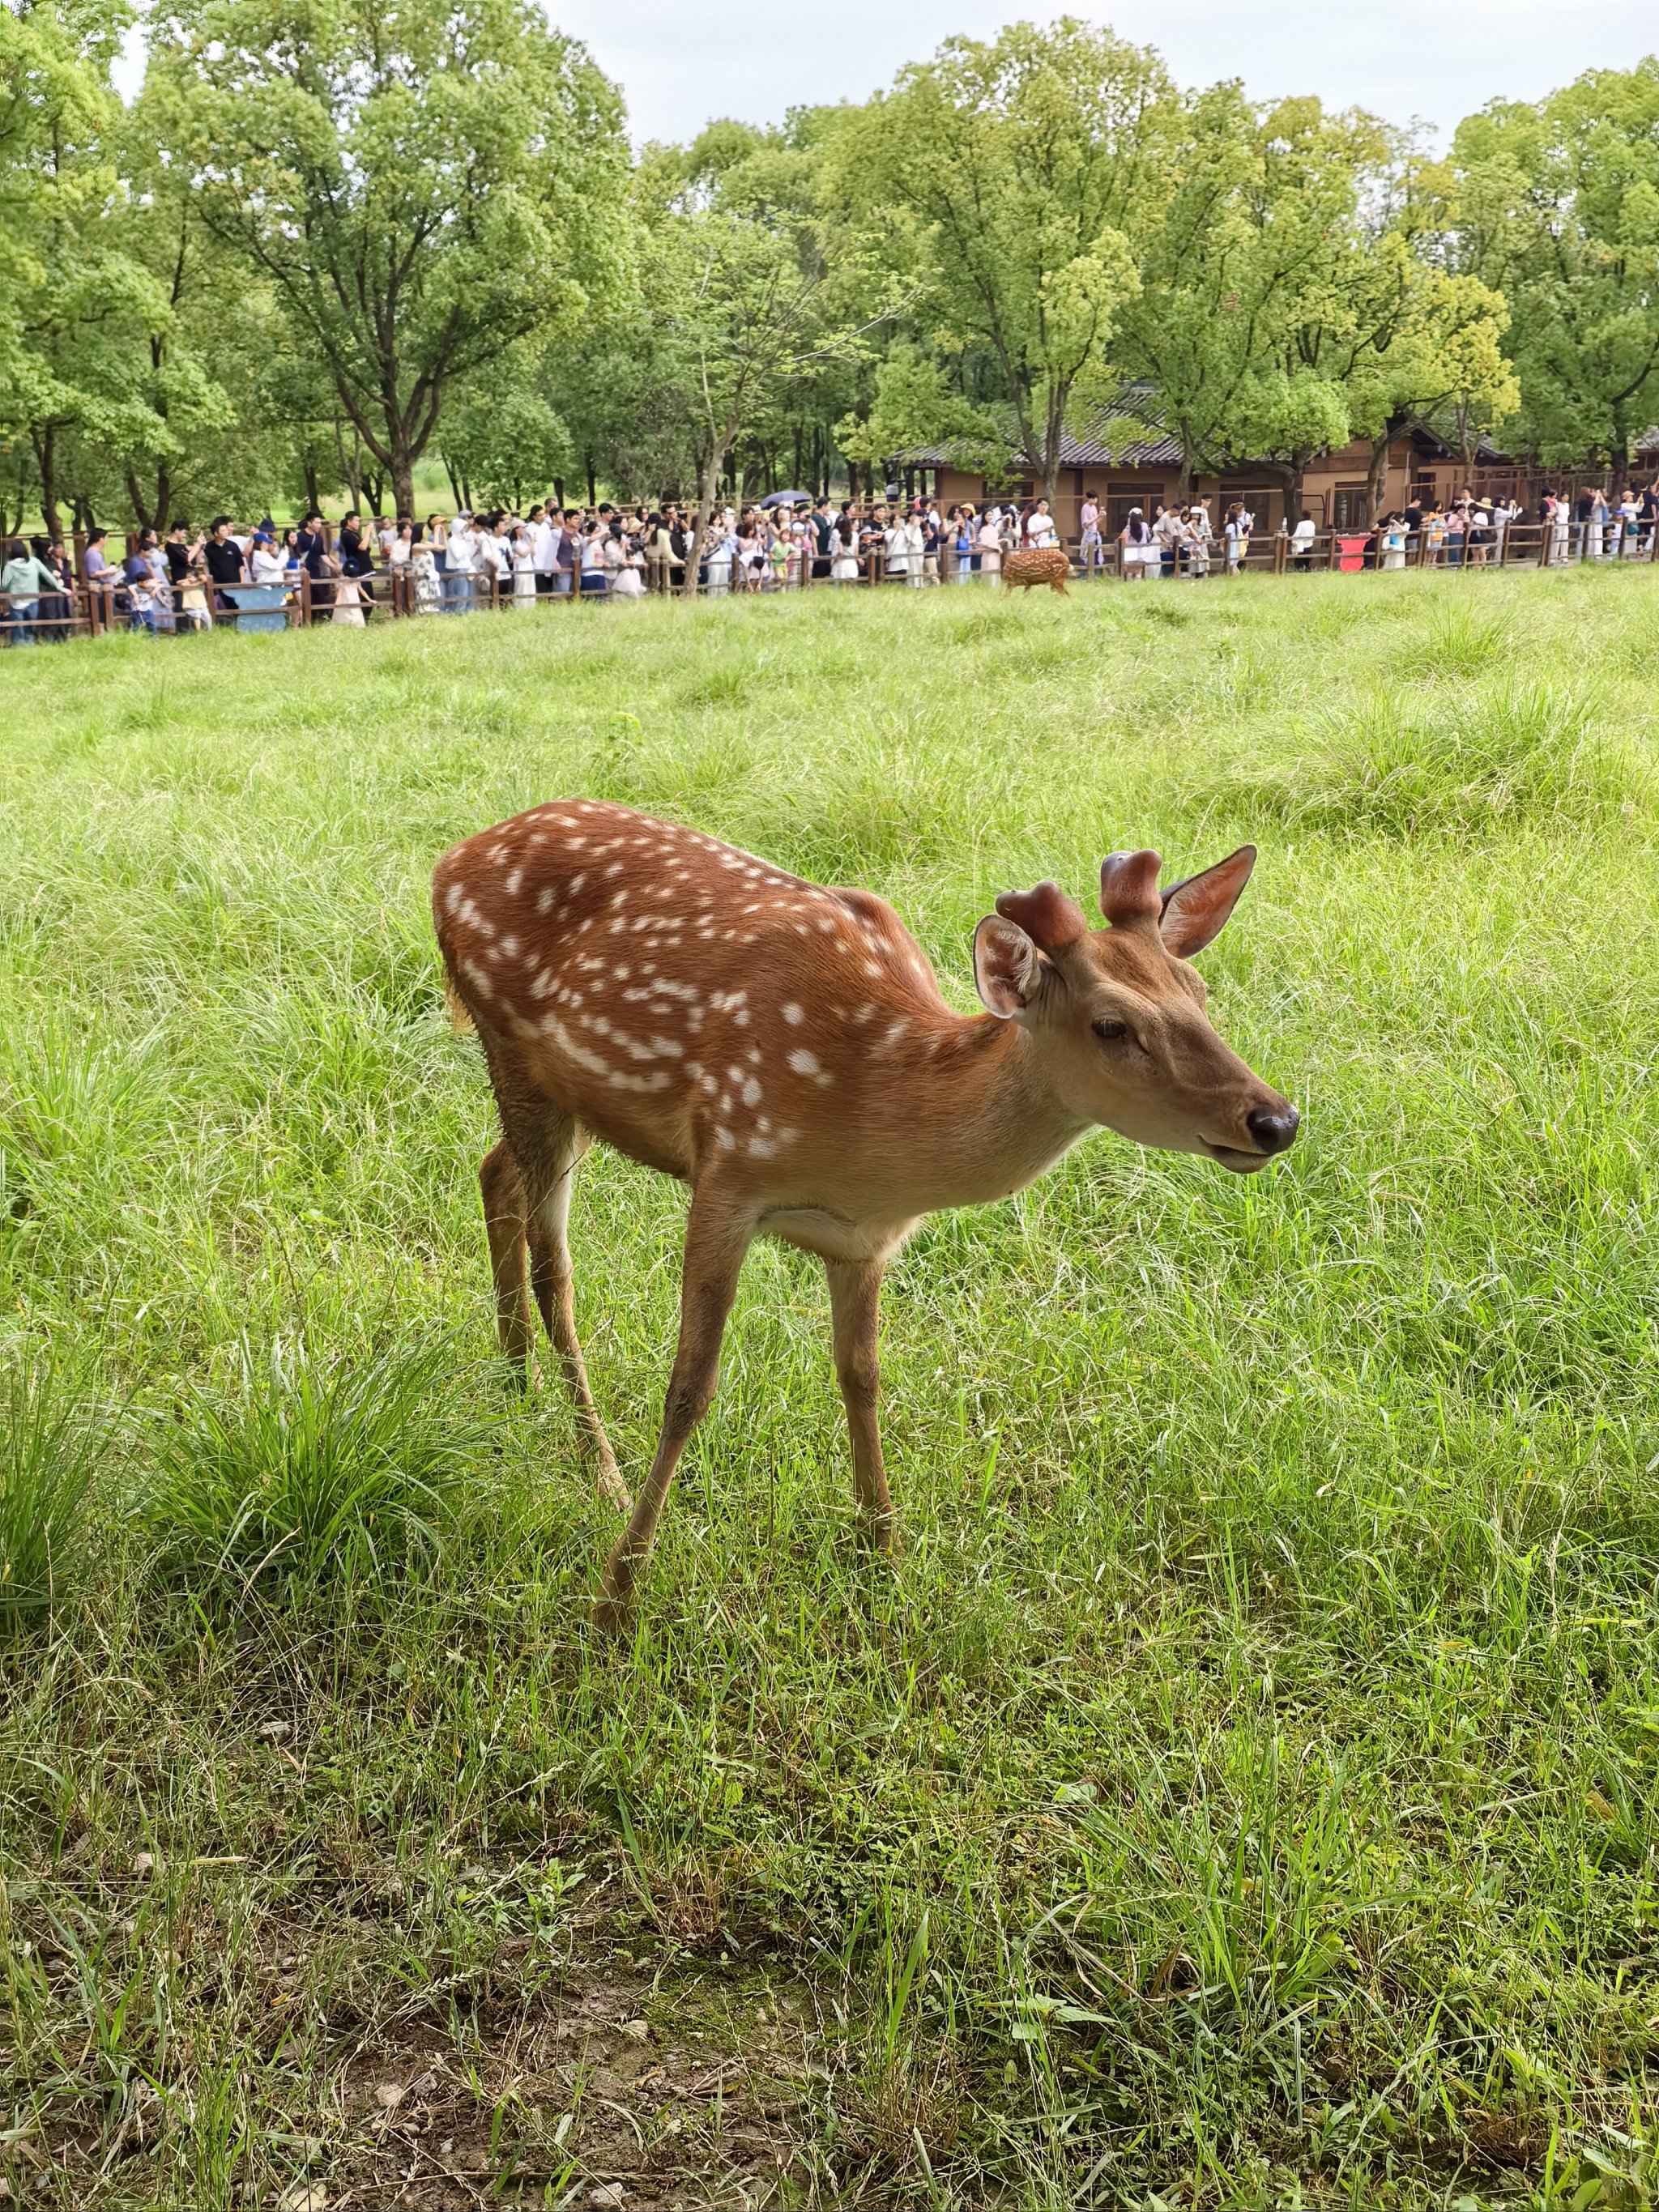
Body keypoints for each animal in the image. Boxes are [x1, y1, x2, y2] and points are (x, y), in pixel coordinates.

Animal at [429, 800, 1300, 1628]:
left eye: (1200, 995)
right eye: (1112, 1025)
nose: (1274, 1120)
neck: (867, 1111)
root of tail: (449, 861)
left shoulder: (864, 1242)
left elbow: (862, 1376)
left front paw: (884, 1551)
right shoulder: (727, 1169)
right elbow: (688, 1389)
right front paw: (618, 1593)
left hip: (564, 1098)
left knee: (493, 1173)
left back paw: (515, 1377)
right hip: (514, 1049)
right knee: (556, 1266)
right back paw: (597, 1465)